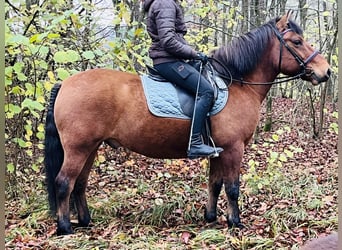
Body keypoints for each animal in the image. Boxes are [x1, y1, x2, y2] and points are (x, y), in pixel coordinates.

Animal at [44, 12, 330, 235]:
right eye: (297, 42)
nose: (326, 71)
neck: (236, 84)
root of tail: (65, 84)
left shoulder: (219, 149)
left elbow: (215, 183)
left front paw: (211, 217)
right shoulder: (234, 148)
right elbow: (232, 187)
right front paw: (235, 222)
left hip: (91, 147)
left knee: (80, 183)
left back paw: (85, 221)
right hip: (78, 148)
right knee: (64, 182)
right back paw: (65, 228)